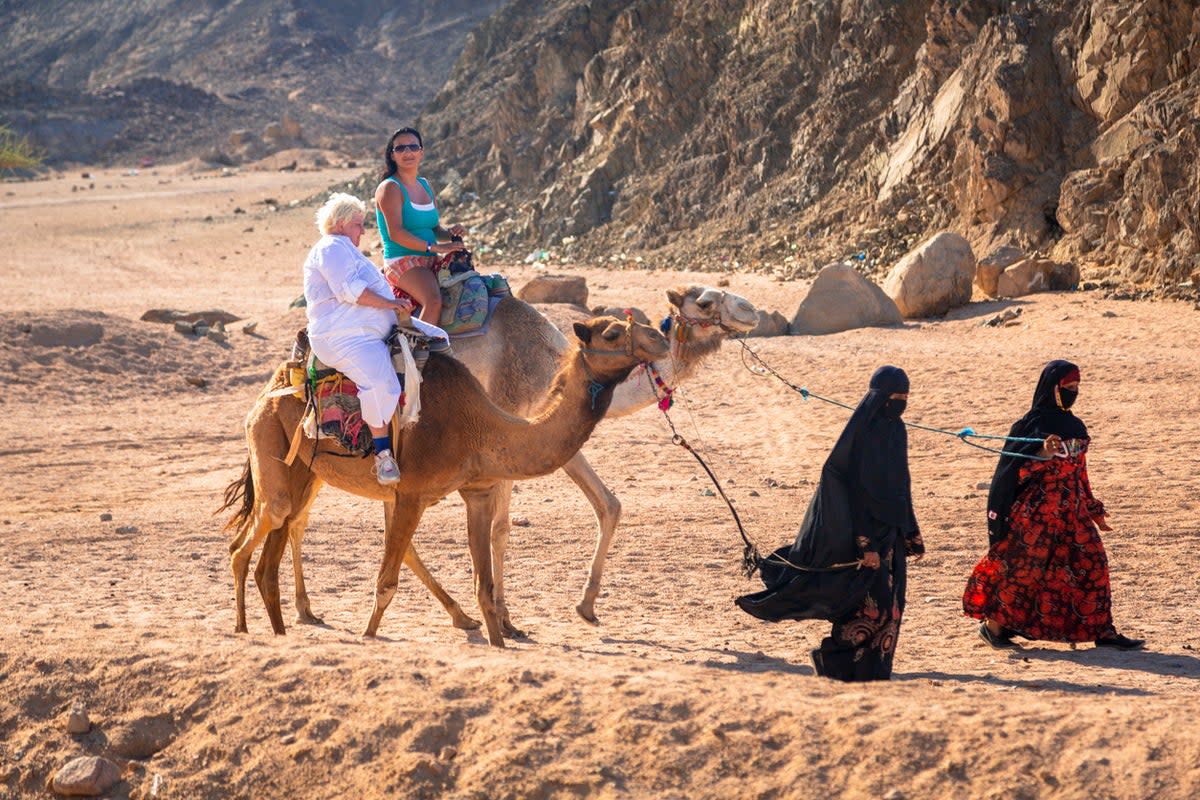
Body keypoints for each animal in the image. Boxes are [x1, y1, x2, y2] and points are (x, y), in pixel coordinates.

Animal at [220, 316, 672, 647]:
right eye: (612, 333)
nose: (660, 337)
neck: (480, 426)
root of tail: (273, 384)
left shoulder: (477, 492)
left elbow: (484, 586)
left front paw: (498, 638)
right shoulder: (411, 492)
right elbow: (386, 583)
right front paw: (369, 635)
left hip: (304, 469)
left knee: (276, 544)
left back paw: (282, 629)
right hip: (272, 441)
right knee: (255, 536)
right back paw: (244, 627)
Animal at [278, 284, 758, 633]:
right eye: (705, 299)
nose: (751, 310)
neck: (548, 360)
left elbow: (609, 504)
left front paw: (582, 607)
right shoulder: (510, 427)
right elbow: (503, 528)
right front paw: (509, 619)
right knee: (304, 516)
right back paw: (308, 608)